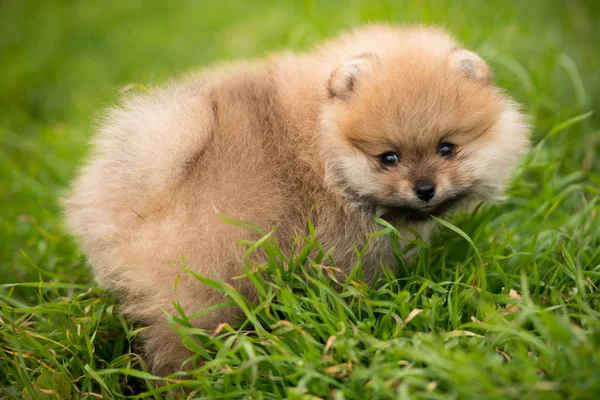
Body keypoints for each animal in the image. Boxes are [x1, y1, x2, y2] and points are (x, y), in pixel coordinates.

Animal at [63, 25, 528, 376]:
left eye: (447, 148)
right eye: (388, 158)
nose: (425, 188)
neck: (321, 141)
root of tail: (134, 192)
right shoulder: (346, 248)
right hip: (195, 288)